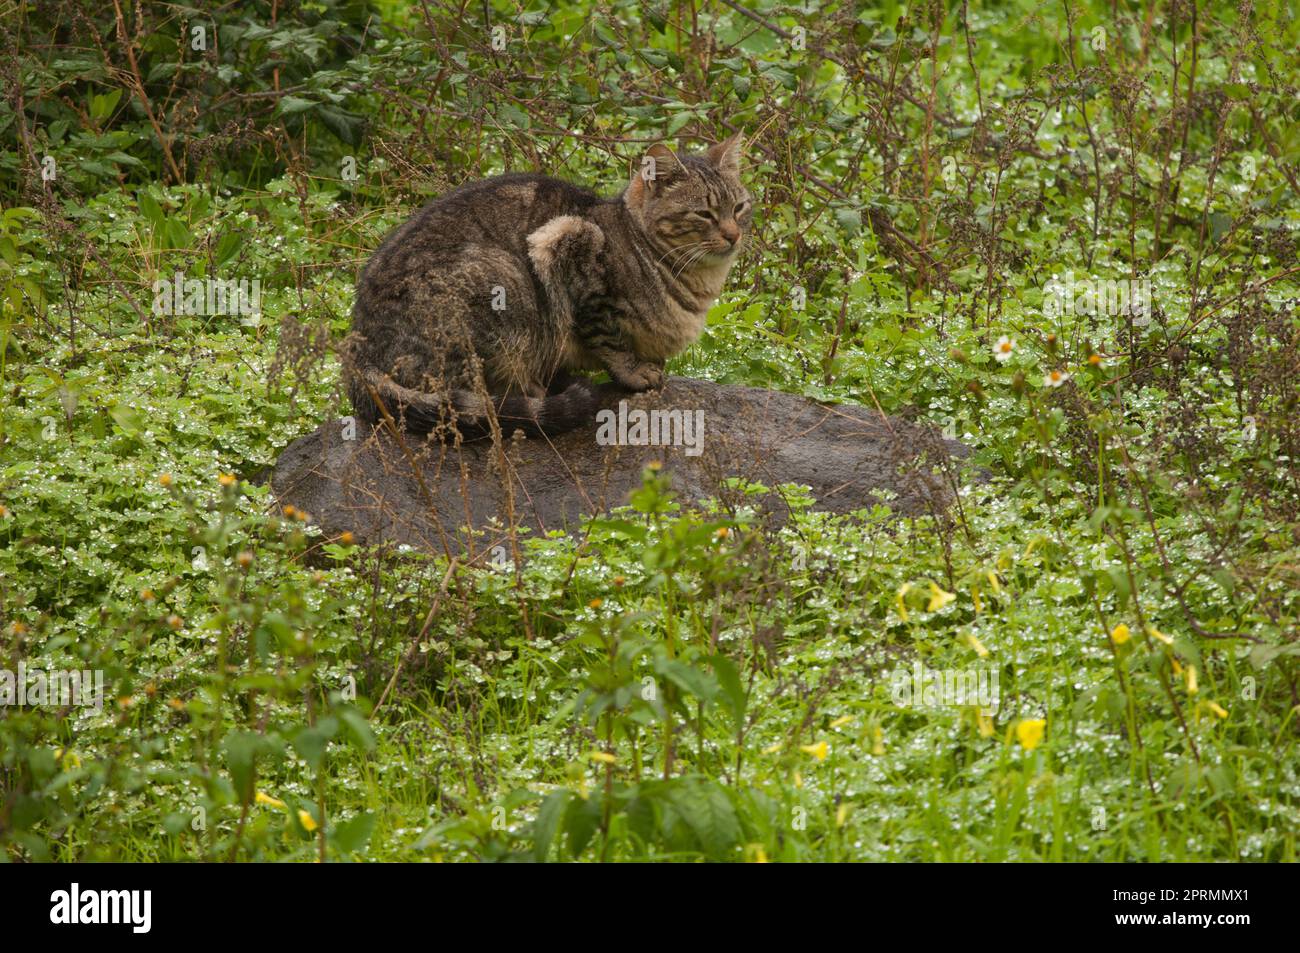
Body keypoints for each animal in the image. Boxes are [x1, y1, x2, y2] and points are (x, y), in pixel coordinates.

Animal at [343, 132, 754, 439]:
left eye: (739, 207)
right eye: (704, 213)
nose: (734, 235)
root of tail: (358, 354)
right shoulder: (564, 245)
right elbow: (607, 337)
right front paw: (636, 372)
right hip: (504, 283)